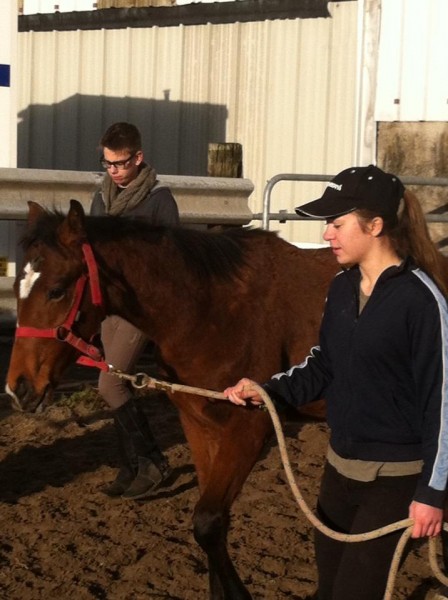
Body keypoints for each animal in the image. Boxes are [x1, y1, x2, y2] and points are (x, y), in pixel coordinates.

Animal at [6, 199, 336, 596]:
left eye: (56, 290)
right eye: (16, 287)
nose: (19, 387)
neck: (214, 308)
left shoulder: (249, 430)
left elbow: (207, 522)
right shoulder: (199, 425)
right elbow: (215, 524)